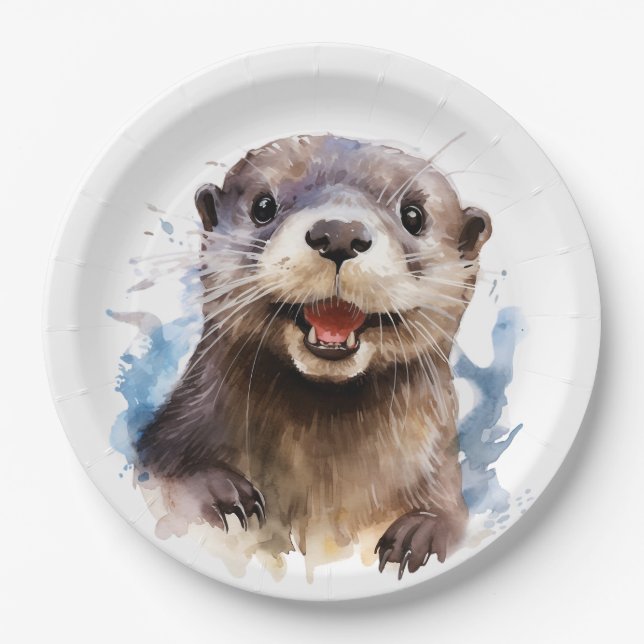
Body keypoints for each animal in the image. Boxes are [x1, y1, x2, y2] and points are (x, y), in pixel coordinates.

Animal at [135, 134, 491, 579]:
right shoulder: (165, 442)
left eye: (413, 215)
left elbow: (451, 518)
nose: (339, 232)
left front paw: (421, 533)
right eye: (263, 206)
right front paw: (219, 495)